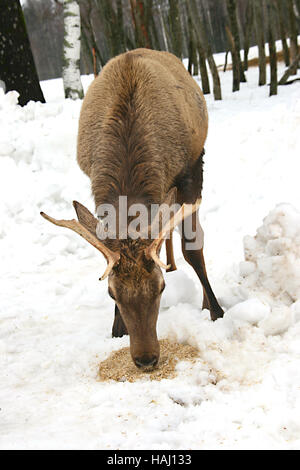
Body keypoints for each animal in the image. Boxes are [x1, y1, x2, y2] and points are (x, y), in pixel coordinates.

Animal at [40, 47, 223, 370]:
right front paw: (117, 329)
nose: (145, 359)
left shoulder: (189, 170)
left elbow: (193, 247)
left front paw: (215, 310)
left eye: (161, 288)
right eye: (111, 292)